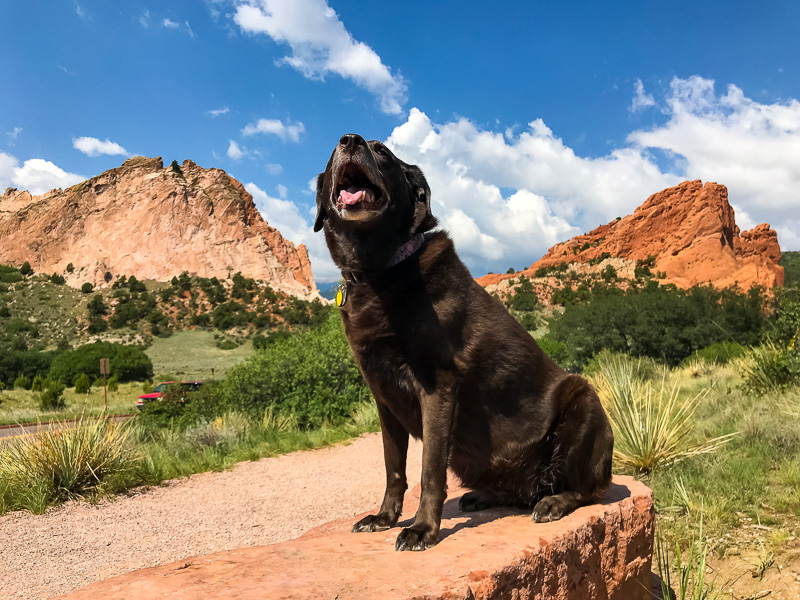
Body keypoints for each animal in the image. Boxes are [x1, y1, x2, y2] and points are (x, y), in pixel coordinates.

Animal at [312, 134, 612, 552]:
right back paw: (486, 495)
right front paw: (384, 518)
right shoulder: (384, 398)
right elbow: (394, 468)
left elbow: (430, 470)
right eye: (331, 153)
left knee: (583, 490)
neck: (381, 271)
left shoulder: (437, 387)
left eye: (382, 151)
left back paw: (554, 502)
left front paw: (422, 529)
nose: (349, 140)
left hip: (583, 402)